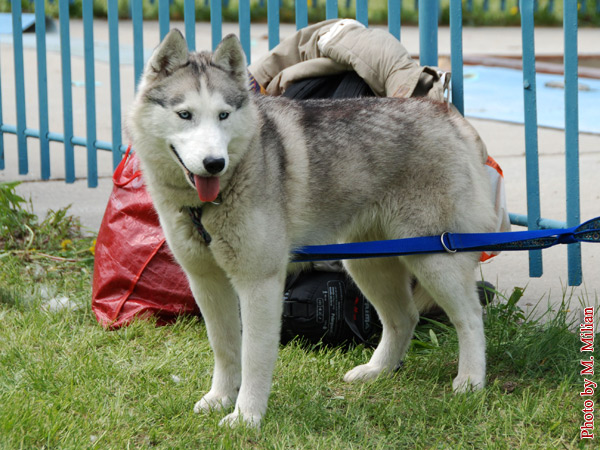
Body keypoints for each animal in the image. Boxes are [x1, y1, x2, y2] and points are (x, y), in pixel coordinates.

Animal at [127, 29, 496, 428]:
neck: (208, 204)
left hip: (435, 256)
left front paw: (246, 416)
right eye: (185, 115)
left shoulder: (260, 283)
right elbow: (224, 348)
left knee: (470, 318)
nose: (214, 163)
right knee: (404, 317)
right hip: (367, 262)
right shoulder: (206, 281)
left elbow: (253, 356)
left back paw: (470, 380)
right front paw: (220, 398)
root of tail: (443, 114)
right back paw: (377, 371)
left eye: (223, 115)